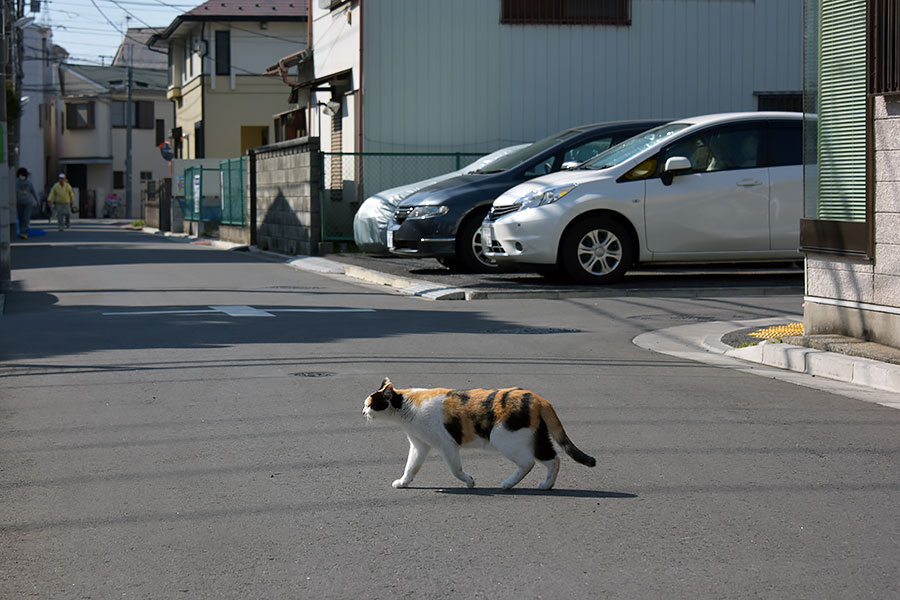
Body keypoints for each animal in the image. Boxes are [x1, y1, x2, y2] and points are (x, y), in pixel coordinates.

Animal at [362, 378, 596, 490]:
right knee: (553, 459)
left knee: (528, 462)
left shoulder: (447, 445)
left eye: (370, 404)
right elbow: (411, 467)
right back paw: (546, 485)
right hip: (537, 438)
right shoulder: (419, 445)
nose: (362, 412)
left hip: (504, 437)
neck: (406, 406)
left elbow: (455, 470)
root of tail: (538, 398)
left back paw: (508, 484)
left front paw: (469, 481)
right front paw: (403, 482)